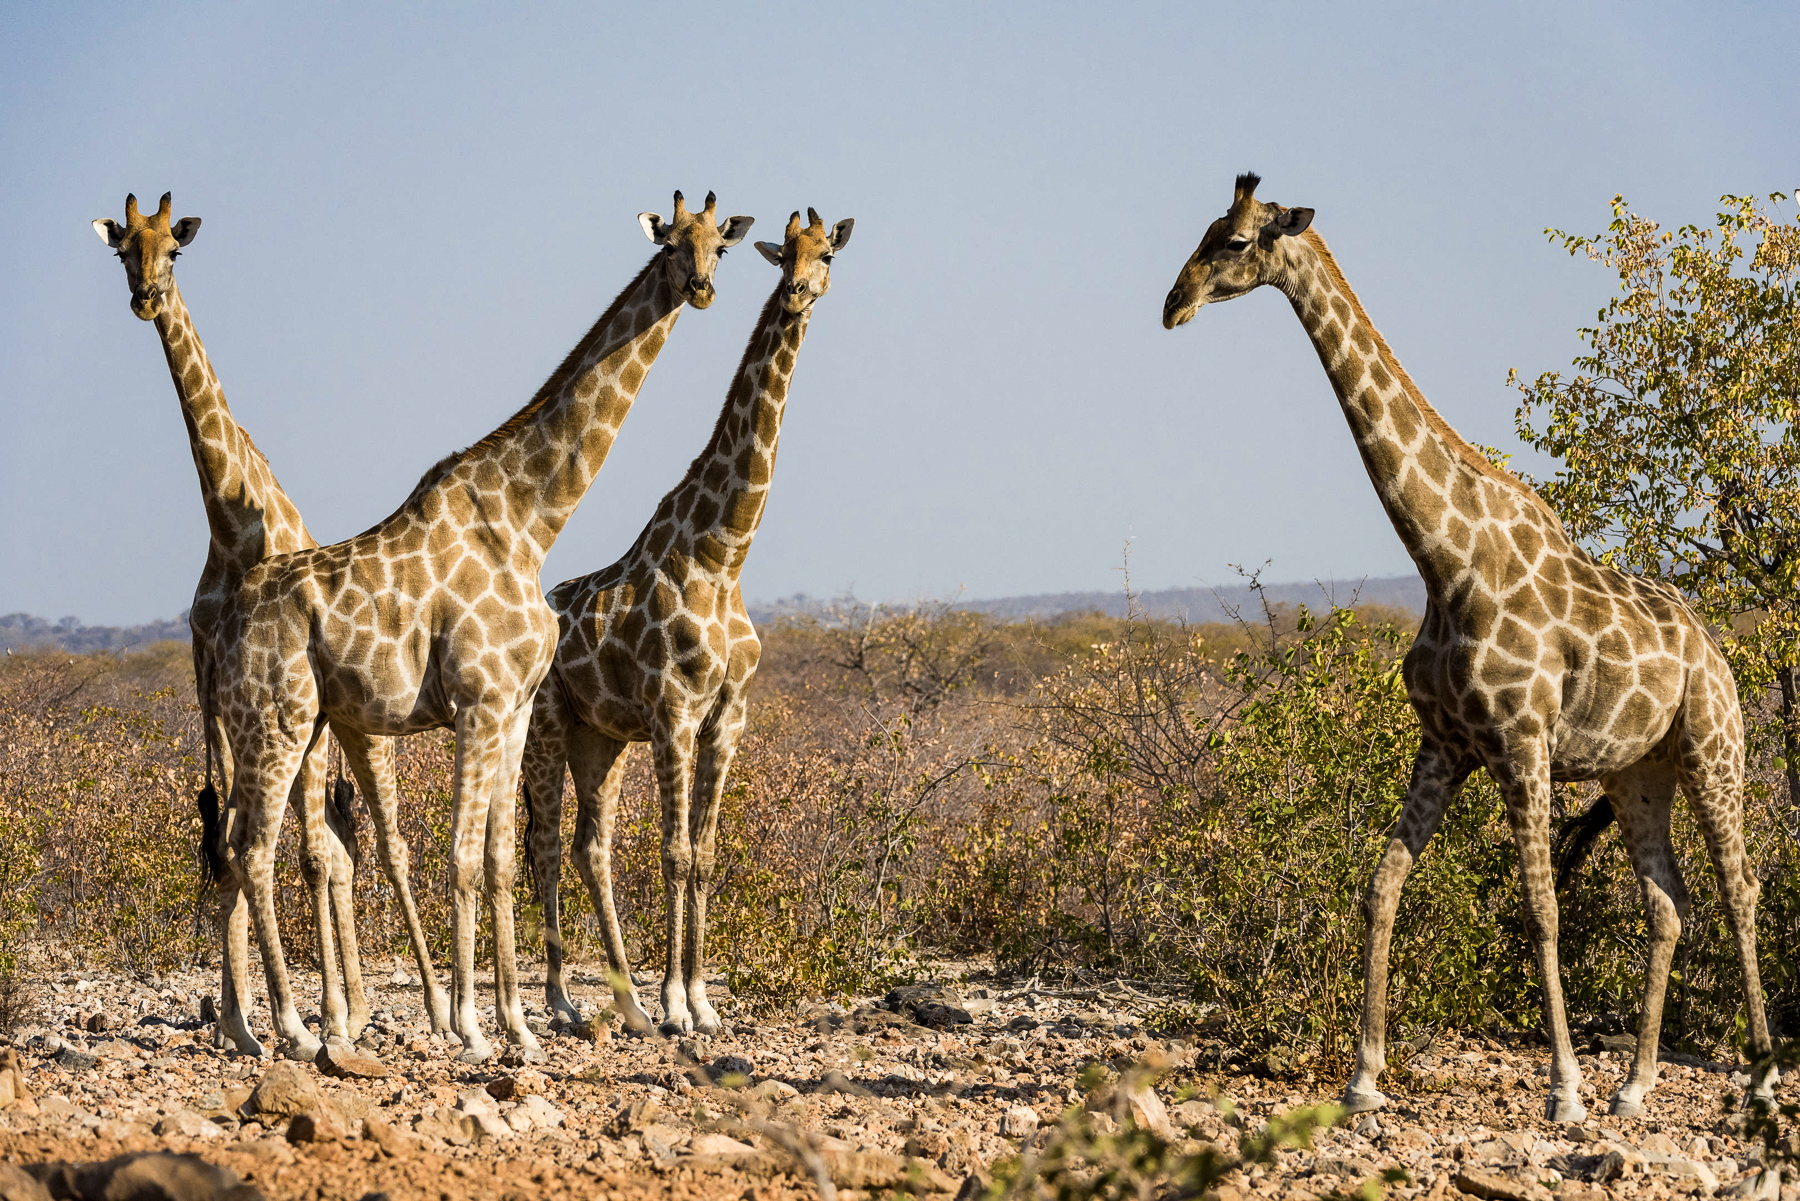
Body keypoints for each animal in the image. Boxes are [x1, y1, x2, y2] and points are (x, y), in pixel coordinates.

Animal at [90, 192, 410, 1056]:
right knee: (286, 840)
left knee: (333, 846)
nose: (145, 298)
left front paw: (310, 1015)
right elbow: (229, 846)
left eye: (173, 249)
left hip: (336, 730)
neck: (233, 531)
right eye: (124, 250)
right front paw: (240, 1020)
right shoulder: (214, 690)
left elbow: (307, 854)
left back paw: (347, 1010)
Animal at [215, 191, 751, 1062]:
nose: (701, 287)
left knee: (231, 848)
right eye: (671, 243)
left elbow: (502, 859)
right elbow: (464, 859)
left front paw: (520, 1024)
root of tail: (223, 626)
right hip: (280, 718)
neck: (530, 520)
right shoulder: (478, 699)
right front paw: (469, 1026)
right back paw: (294, 1028)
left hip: (276, 722)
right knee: (256, 851)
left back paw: (242, 1026)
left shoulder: (519, 704)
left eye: (721, 246)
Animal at [521, 208, 853, 1036]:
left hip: (600, 737)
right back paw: (565, 1000)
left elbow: (703, 853)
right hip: (546, 723)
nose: (797, 293)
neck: (723, 552)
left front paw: (699, 1001)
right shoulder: (674, 709)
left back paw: (627, 1001)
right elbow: (672, 851)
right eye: (782, 254)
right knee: (546, 842)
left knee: (591, 845)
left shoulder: (728, 714)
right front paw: (678, 1003)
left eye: (826, 254)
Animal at [1161, 174, 1771, 1121]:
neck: (1445, 559)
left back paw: (1758, 1078)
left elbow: (1540, 909)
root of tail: (1715, 650)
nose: (1172, 304)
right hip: (1639, 770)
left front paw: (1563, 1090)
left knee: (1741, 889)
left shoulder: (1522, 743)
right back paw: (1636, 1085)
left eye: (1231, 241)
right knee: (1668, 902)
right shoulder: (1444, 743)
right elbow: (1382, 884)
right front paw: (1364, 1077)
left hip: (1714, 745)